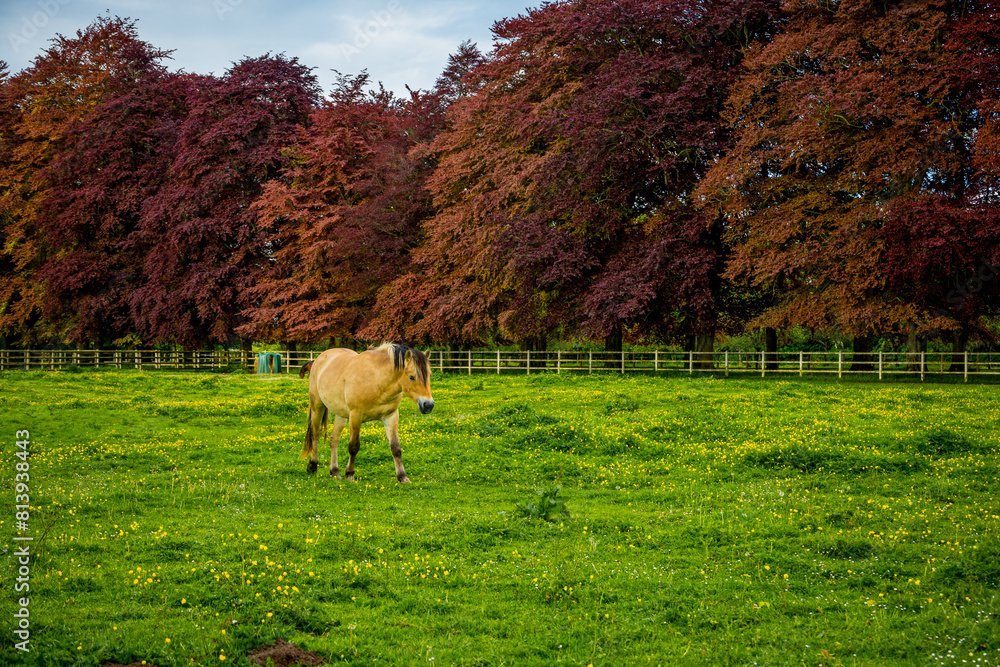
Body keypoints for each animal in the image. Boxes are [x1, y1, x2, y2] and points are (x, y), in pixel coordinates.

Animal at [301, 342, 434, 483]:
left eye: (429, 375)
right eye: (411, 377)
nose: (429, 405)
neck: (377, 380)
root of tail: (318, 359)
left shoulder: (391, 416)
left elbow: (395, 447)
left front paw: (402, 477)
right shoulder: (355, 416)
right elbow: (353, 447)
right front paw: (349, 474)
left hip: (340, 414)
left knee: (334, 438)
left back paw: (335, 472)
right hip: (317, 406)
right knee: (316, 433)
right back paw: (313, 465)